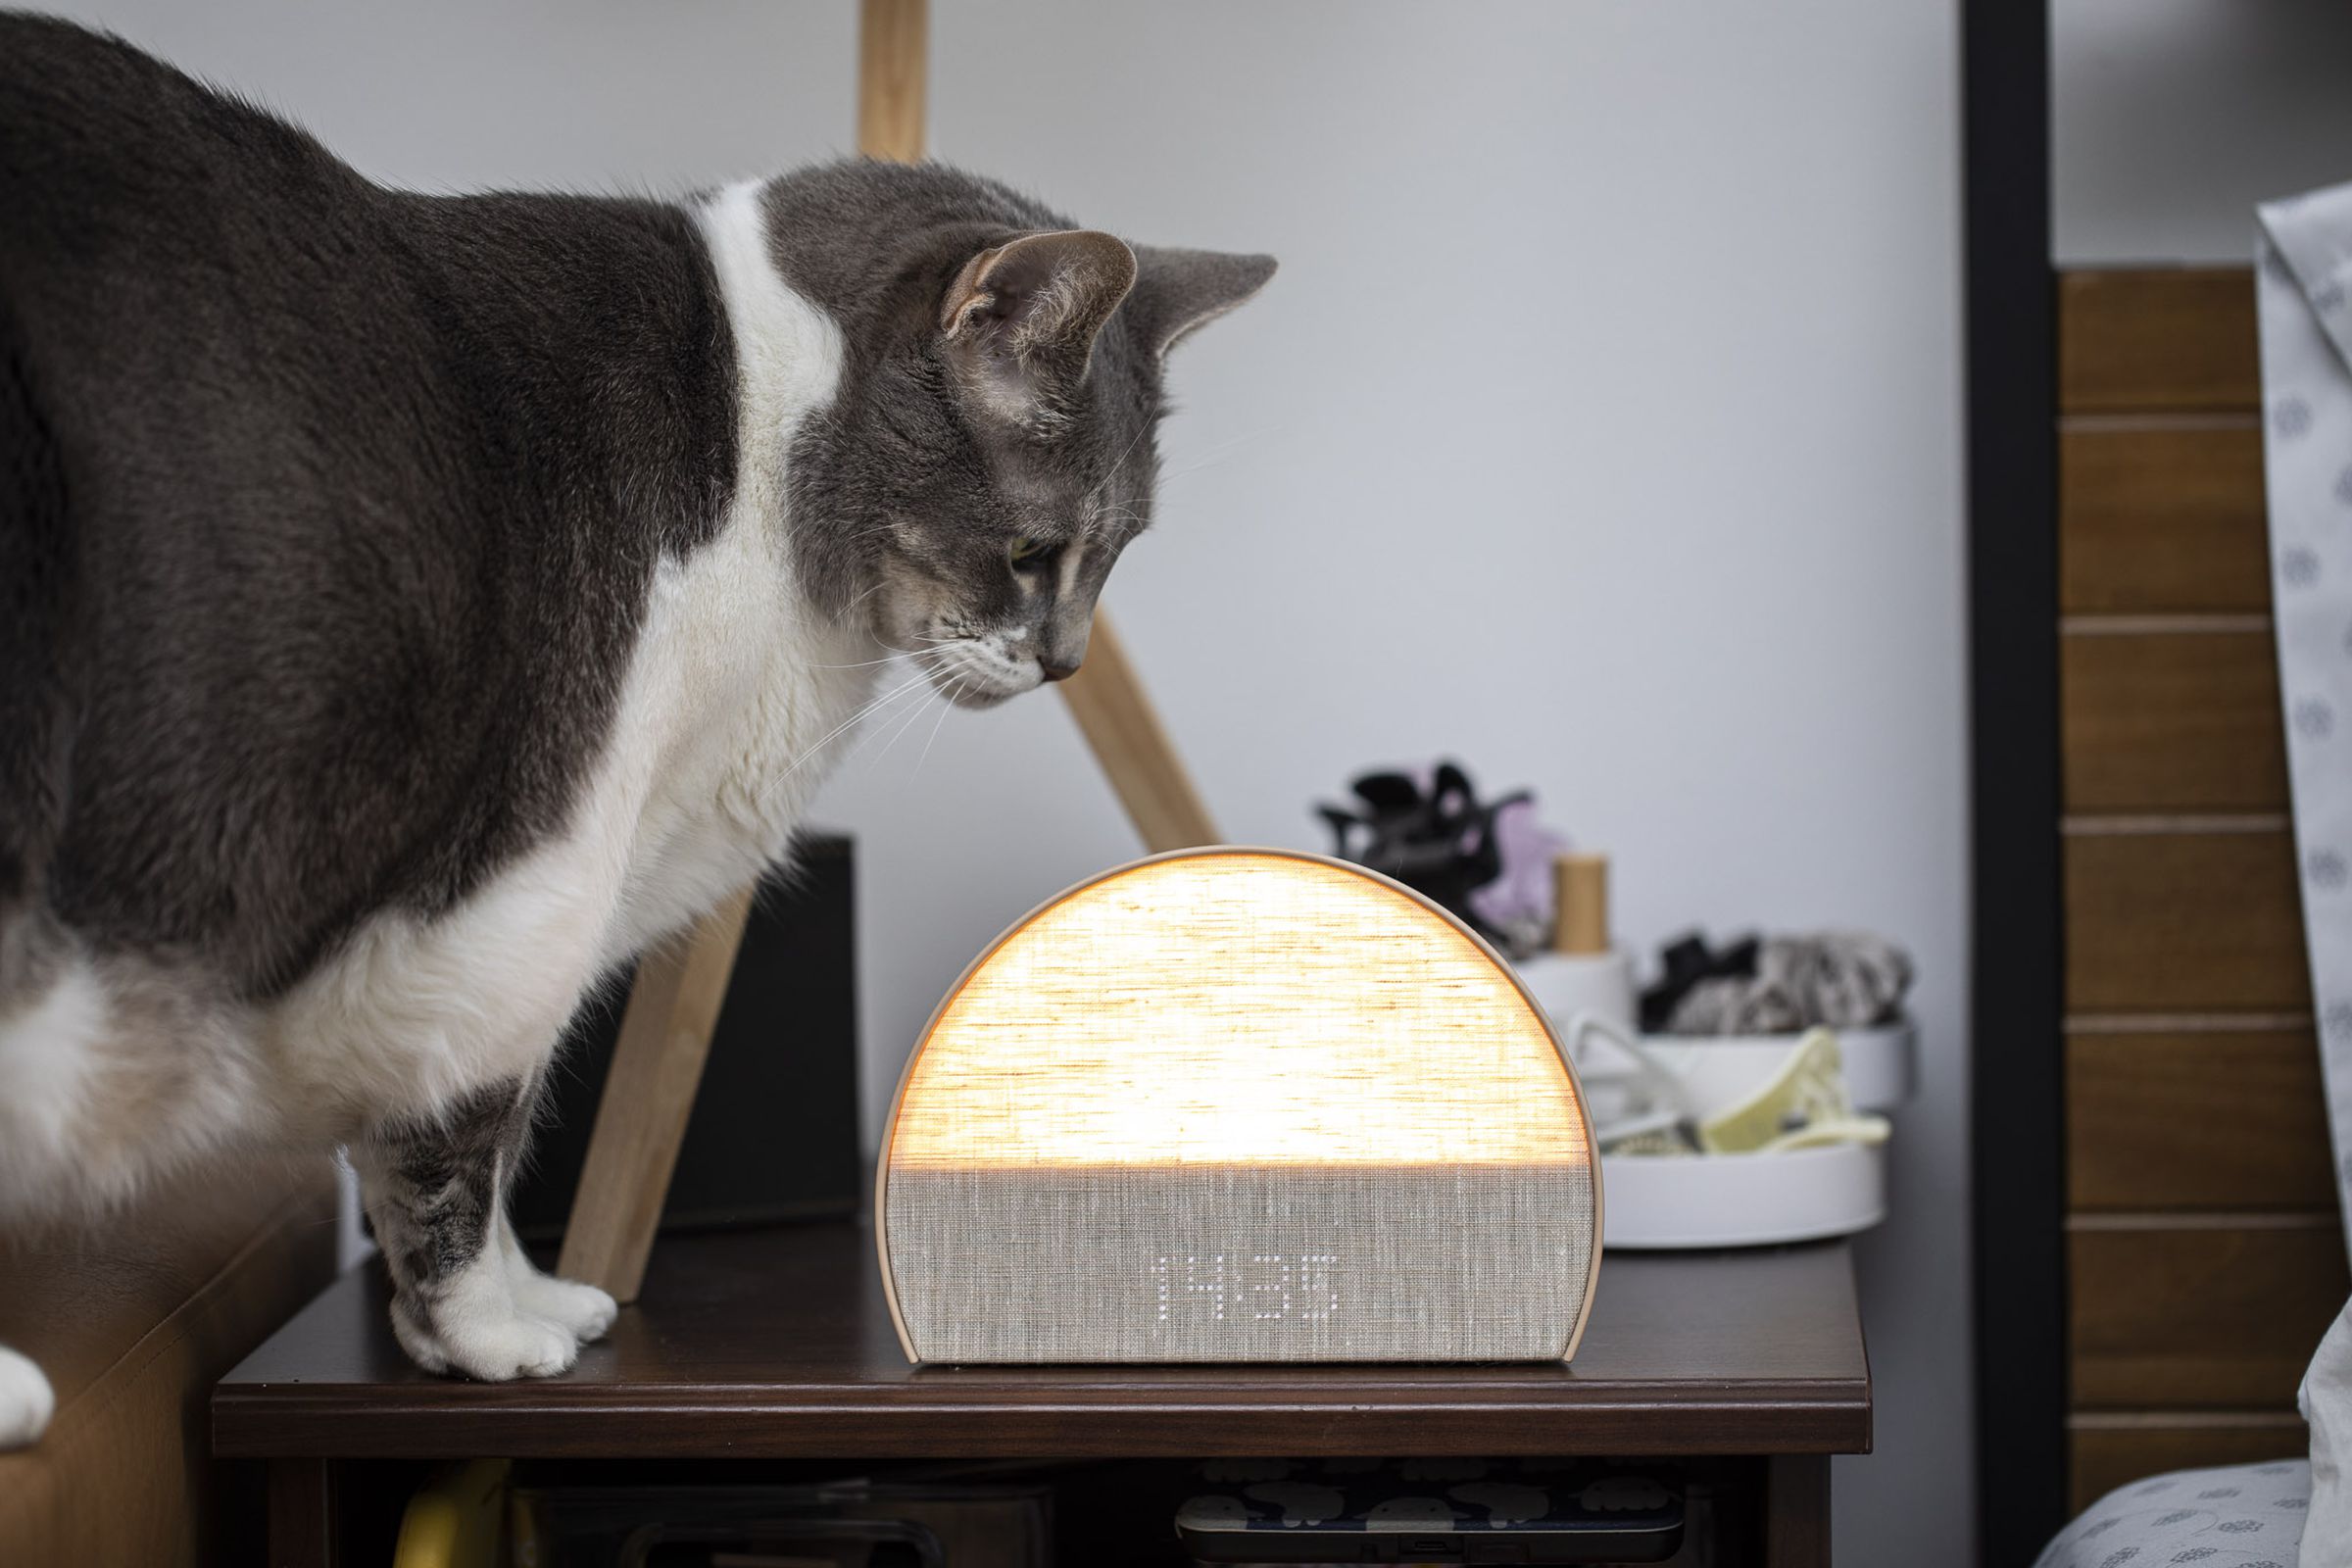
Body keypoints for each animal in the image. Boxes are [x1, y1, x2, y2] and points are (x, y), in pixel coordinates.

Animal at [0, 12, 1279, 1457]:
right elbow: (460, 1135)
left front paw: (518, 1302)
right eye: (1031, 552)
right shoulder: (511, 906)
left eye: (1118, 558)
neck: (765, 448)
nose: (1067, 662)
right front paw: (485, 1339)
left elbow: (478, 1149)